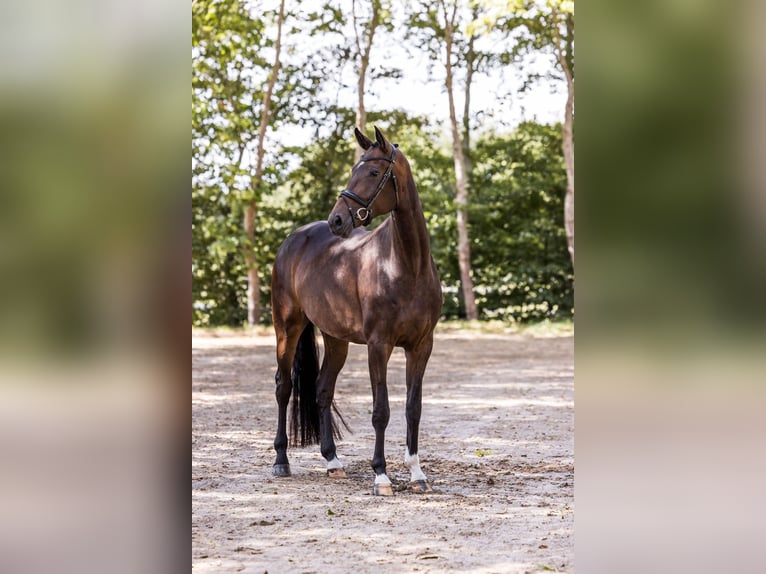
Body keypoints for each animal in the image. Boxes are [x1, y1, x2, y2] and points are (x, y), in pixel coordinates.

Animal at [270, 126, 442, 496]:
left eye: (374, 172)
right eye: (354, 169)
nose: (337, 220)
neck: (406, 265)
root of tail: (295, 239)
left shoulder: (422, 346)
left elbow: (413, 408)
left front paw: (417, 474)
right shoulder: (379, 345)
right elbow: (381, 410)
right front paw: (381, 475)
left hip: (336, 339)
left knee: (321, 390)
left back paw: (333, 461)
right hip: (287, 328)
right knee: (283, 387)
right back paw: (281, 461)